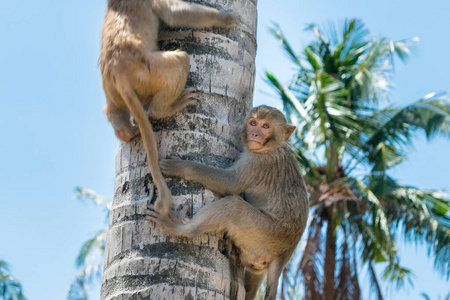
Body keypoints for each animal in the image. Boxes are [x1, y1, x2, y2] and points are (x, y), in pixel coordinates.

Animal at [99, 0, 239, 216]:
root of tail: (119, 70)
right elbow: (174, 14)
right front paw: (225, 18)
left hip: (112, 88)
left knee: (112, 108)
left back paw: (124, 131)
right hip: (151, 71)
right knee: (180, 60)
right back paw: (162, 108)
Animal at [144, 106, 310, 300]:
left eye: (265, 126)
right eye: (253, 122)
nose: (254, 134)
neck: (274, 147)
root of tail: (283, 256)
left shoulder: (257, 162)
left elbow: (231, 184)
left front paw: (180, 166)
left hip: (266, 234)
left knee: (233, 206)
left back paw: (179, 227)